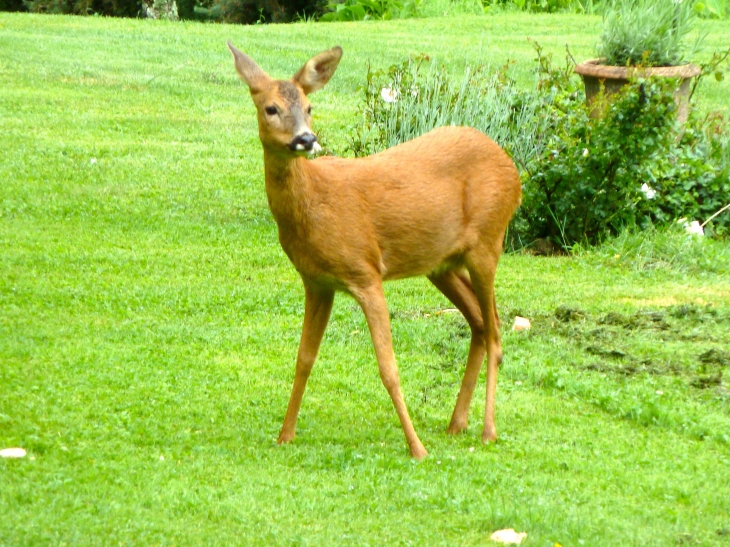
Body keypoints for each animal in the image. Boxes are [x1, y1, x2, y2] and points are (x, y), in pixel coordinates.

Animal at [226, 42, 516, 460]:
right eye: (271, 108)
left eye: (310, 106)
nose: (305, 140)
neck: (313, 206)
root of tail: (513, 169)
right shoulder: (317, 281)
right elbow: (304, 359)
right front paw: (285, 435)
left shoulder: (365, 272)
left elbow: (388, 368)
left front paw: (417, 449)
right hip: (443, 264)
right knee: (479, 322)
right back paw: (456, 423)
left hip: (488, 242)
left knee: (494, 329)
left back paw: (487, 430)